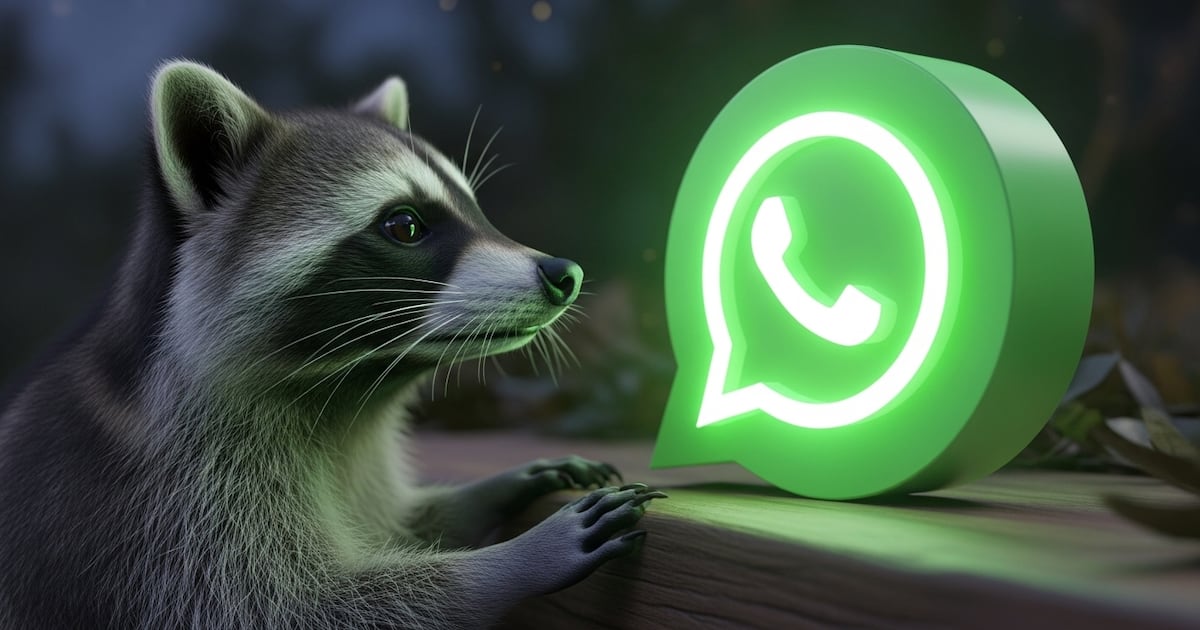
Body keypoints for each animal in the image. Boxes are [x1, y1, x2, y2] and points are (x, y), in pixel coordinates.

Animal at [0, 62, 663, 629]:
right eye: (405, 225)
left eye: (475, 207)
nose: (564, 274)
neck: (345, 394)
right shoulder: (165, 514)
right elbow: (293, 608)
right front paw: (511, 562)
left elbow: (395, 524)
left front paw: (492, 492)